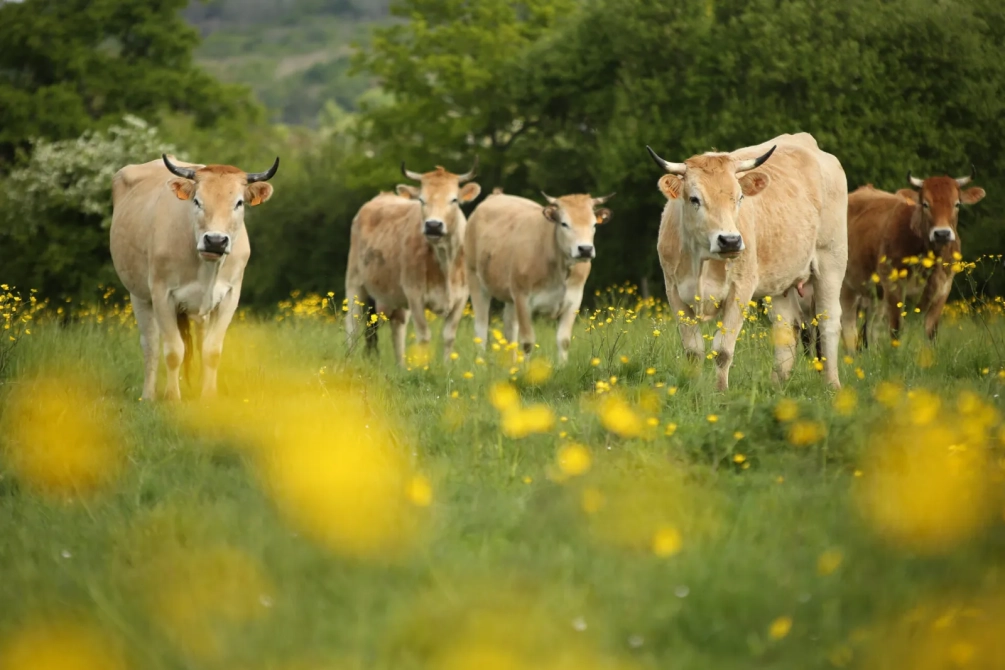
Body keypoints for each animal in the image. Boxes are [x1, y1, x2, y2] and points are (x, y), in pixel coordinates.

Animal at [110, 154, 279, 401]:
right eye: (197, 201)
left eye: (239, 203)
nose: (216, 241)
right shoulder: (162, 295)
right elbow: (173, 351)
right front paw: (173, 397)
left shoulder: (230, 296)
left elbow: (212, 350)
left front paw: (208, 395)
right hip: (139, 295)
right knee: (150, 344)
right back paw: (148, 395)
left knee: (199, 340)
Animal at [344, 160, 480, 366]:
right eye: (422, 200)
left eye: (454, 200)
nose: (433, 225)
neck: (445, 262)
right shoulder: (415, 296)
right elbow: (424, 336)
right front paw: (423, 368)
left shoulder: (461, 297)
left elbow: (448, 337)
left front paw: (446, 367)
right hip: (355, 283)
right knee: (353, 325)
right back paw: (350, 361)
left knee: (397, 328)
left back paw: (401, 366)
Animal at [465, 190, 613, 363]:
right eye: (564, 223)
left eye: (594, 224)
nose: (585, 249)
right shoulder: (522, 299)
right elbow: (528, 342)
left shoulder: (574, 300)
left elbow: (564, 340)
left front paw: (562, 366)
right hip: (475, 279)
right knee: (481, 328)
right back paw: (480, 361)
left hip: (510, 296)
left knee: (510, 330)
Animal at [647, 132, 848, 390]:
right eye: (694, 199)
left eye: (739, 197)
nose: (730, 241)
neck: (702, 262)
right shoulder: (674, 291)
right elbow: (693, 351)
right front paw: (691, 388)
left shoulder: (740, 290)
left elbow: (723, 350)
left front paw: (720, 392)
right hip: (780, 281)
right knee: (786, 327)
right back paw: (777, 385)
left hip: (832, 260)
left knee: (829, 322)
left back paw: (832, 384)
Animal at [839, 170, 985, 349]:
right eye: (925, 204)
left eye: (956, 204)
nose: (942, 233)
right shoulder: (894, 287)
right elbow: (896, 329)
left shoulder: (943, 289)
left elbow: (931, 331)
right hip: (846, 288)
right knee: (849, 330)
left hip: (875, 296)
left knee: (871, 329)